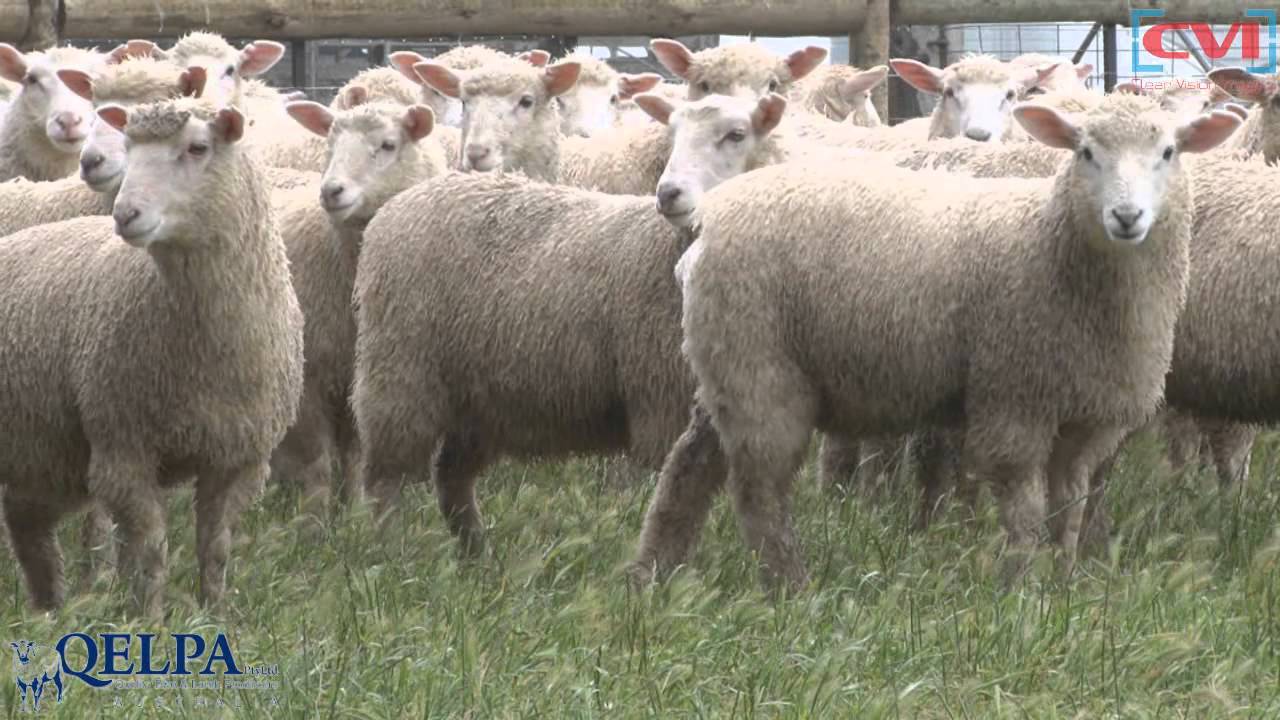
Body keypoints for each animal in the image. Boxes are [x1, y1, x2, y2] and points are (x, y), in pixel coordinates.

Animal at [0, 97, 303, 615]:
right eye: (128, 147)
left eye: (198, 148)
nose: (125, 214)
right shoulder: (124, 448)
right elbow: (151, 549)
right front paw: (152, 619)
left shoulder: (239, 457)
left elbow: (216, 547)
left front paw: (214, 613)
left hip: (37, 452)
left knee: (30, 531)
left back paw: (50, 610)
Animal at [275, 98, 446, 515]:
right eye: (330, 143)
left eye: (387, 145)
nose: (331, 191)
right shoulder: (308, 375)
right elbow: (317, 463)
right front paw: (315, 517)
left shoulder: (357, 372)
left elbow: (355, 455)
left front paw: (355, 511)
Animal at [351, 93, 790, 555]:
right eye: (671, 134)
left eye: (736, 134)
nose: (669, 193)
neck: (668, 250)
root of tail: (397, 205)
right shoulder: (659, 404)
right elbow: (668, 488)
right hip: (400, 371)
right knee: (385, 477)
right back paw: (391, 549)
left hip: (481, 397)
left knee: (451, 476)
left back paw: (476, 555)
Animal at [630, 94, 1239, 591]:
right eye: (1086, 152)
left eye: (1168, 152)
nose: (1127, 215)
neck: (1048, 240)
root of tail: (709, 225)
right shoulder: (1013, 398)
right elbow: (1025, 509)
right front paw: (1022, 588)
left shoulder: (1085, 416)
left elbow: (1068, 508)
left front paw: (1063, 581)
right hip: (760, 368)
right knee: (759, 492)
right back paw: (791, 588)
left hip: (727, 365)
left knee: (689, 466)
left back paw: (655, 573)